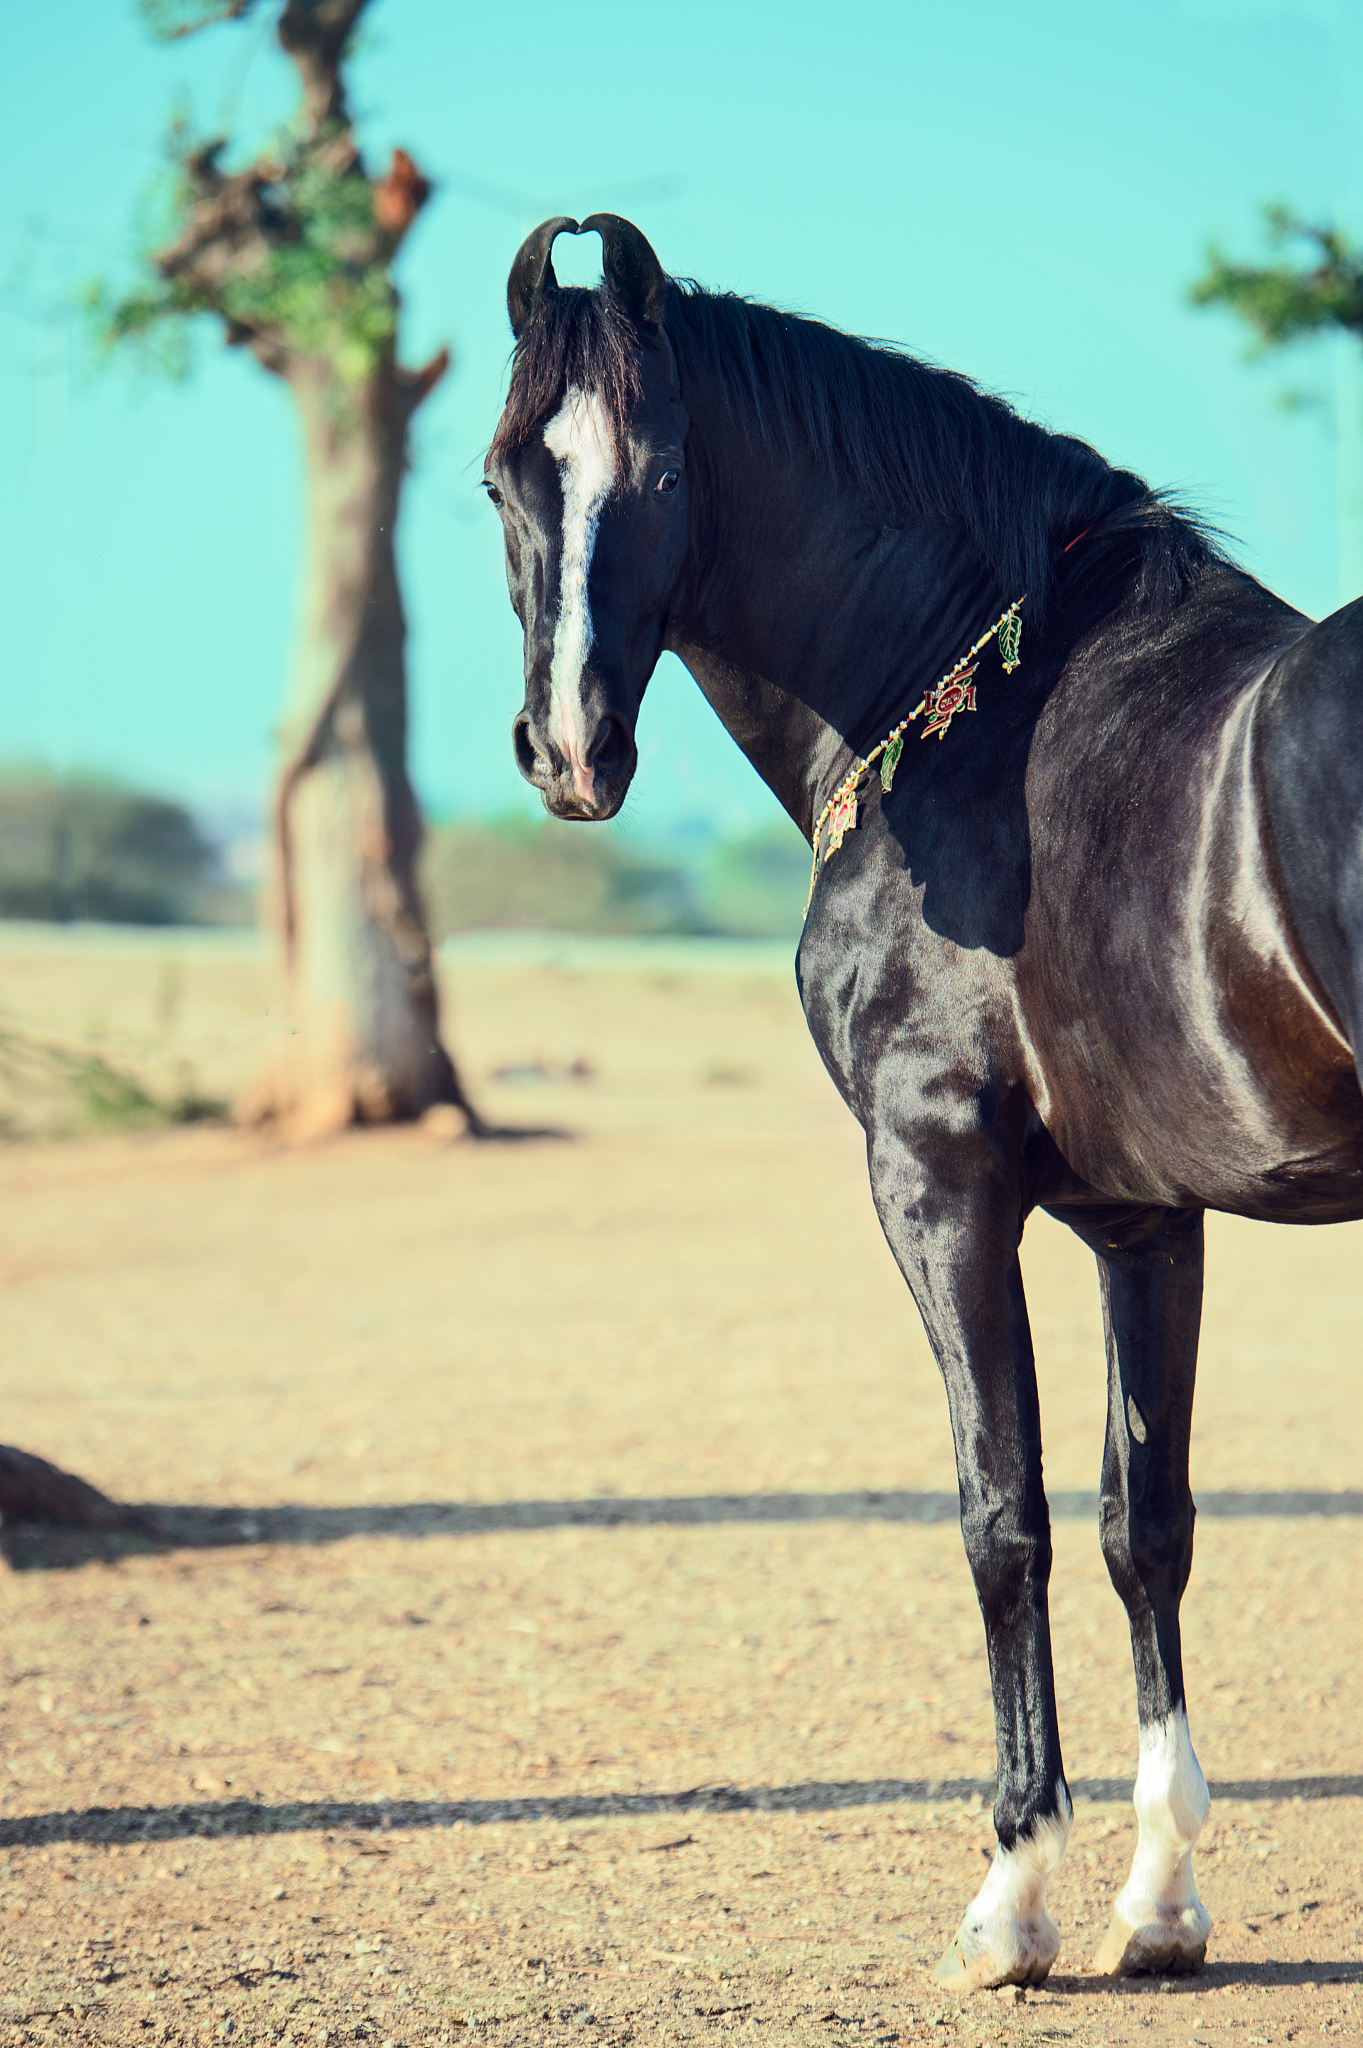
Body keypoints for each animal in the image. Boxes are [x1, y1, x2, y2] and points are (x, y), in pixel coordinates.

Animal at [481, 213, 1363, 1993]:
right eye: (495, 481)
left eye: (663, 469)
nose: (569, 753)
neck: (976, 725)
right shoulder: (1142, 1223)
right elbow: (1141, 1522)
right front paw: (1157, 1904)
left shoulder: (935, 1186)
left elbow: (998, 1516)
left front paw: (1010, 1901)